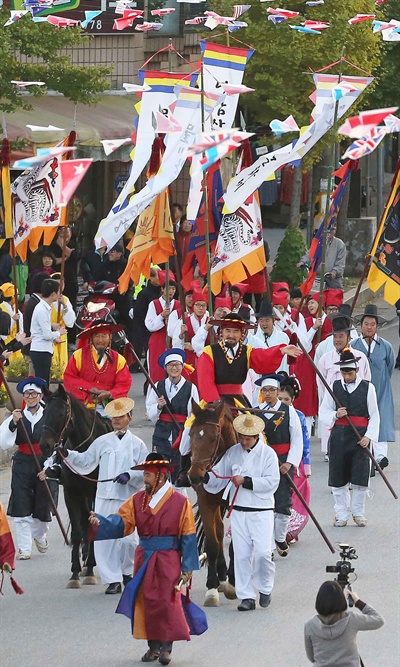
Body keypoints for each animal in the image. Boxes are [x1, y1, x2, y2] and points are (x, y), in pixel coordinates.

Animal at [39, 386, 112, 588]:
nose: (44, 445)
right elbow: (78, 532)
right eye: (44, 412)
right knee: (84, 522)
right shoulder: (71, 493)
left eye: (61, 413)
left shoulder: (95, 493)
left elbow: (94, 526)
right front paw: (75, 572)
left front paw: (90, 570)